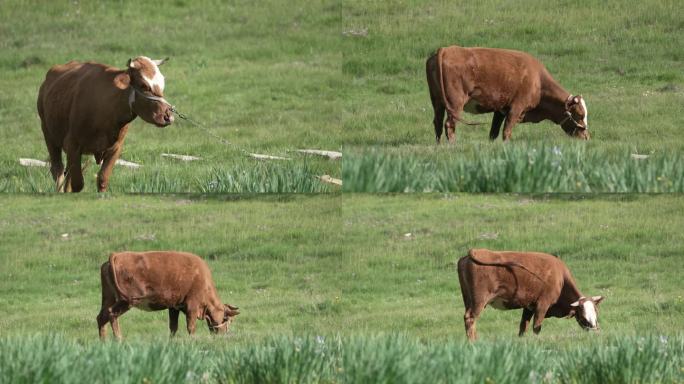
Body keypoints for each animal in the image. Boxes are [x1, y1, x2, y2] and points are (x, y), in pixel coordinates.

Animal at [36, 56, 176, 192]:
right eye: (144, 85)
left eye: (162, 84)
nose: (167, 116)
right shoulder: (72, 145)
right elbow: (78, 184)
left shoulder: (116, 148)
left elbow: (102, 179)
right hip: (48, 133)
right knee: (58, 170)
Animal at [96, 252, 239, 340]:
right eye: (227, 319)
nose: (223, 335)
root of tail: (116, 255)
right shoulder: (192, 306)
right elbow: (191, 327)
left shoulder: (174, 306)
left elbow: (173, 328)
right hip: (127, 301)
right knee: (112, 314)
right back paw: (118, 339)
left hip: (109, 297)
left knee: (101, 317)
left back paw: (104, 342)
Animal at [428, 46, 588, 142]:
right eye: (579, 115)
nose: (587, 137)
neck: (538, 81)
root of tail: (446, 49)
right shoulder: (516, 108)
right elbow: (507, 131)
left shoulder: (500, 110)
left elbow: (493, 132)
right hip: (455, 103)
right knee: (449, 124)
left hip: (437, 102)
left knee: (437, 122)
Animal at [456, 249, 600, 342]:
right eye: (584, 318)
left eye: (596, 315)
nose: (596, 333)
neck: (561, 278)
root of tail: (474, 252)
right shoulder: (542, 304)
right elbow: (537, 327)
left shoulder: (529, 306)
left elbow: (523, 327)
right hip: (479, 301)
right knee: (470, 318)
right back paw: (473, 342)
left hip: (468, 299)